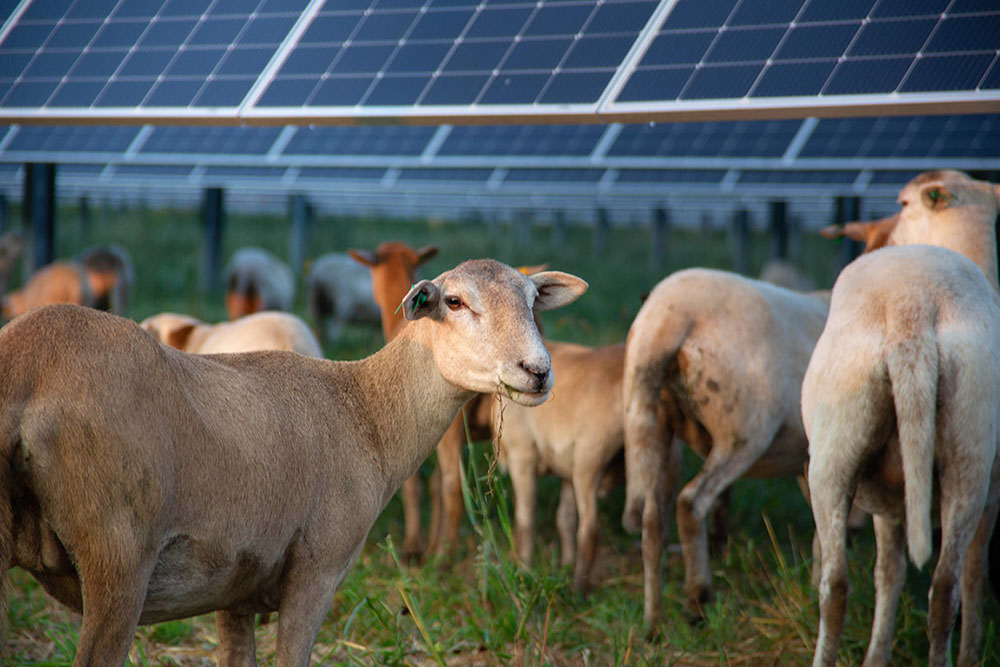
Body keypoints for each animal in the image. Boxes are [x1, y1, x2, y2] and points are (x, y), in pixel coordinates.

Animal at [494, 340, 626, 594]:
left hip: (589, 460)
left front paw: (524, 569)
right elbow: (564, 519)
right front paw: (564, 565)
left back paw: (578, 590)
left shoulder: (522, 456)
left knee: (589, 529)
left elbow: (525, 518)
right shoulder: (567, 471)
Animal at [622, 268, 830, 624]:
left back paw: (654, 620)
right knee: (690, 502)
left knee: (652, 521)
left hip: (650, 419)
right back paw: (698, 597)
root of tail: (667, 316)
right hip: (743, 432)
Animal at [802, 170, 1000, 667]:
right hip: (969, 460)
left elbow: (887, 575)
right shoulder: (994, 491)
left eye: (903, 204)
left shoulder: (890, 501)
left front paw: (876, 655)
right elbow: (975, 574)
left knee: (835, 587)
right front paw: (972, 653)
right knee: (947, 588)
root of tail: (911, 307)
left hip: (835, 453)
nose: (876, 236)